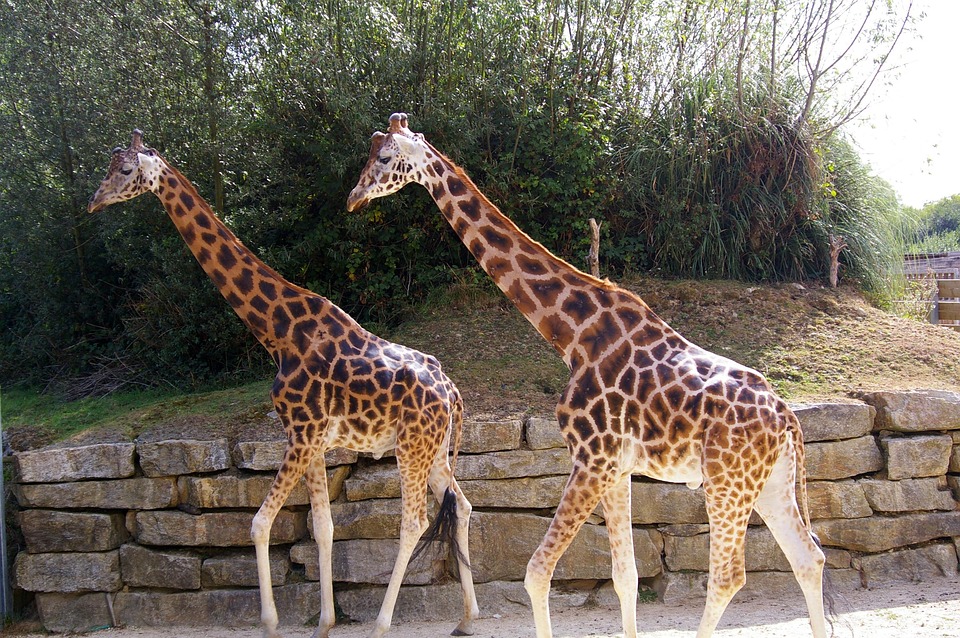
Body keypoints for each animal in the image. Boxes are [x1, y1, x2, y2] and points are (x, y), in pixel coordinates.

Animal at [88, 130, 479, 638]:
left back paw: (382, 623)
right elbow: (322, 527)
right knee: (462, 505)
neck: (278, 332)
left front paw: (271, 621)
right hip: (432, 449)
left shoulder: (301, 434)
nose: (94, 202)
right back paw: (468, 617)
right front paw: (324, 622)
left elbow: (258, 524)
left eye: (124, 170)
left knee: (413, 521)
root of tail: (453, 392)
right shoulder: (311, 441)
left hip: (411, 447)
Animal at [346, 114, 827, 638]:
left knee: (728, 576)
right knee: (809, 557)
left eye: (385, 158)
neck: (573, 336)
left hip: (727, 482)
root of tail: (789, 420)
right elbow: (625, 576)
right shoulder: (616, 468)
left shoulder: (591, 458)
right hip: (769, 483)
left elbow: (537, 572)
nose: (353, 198)